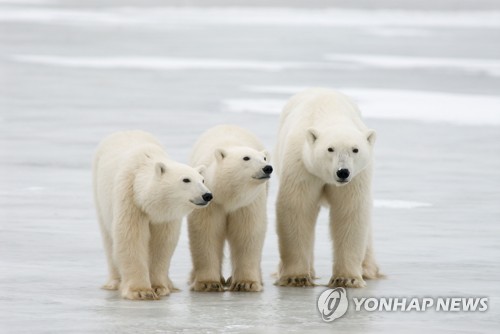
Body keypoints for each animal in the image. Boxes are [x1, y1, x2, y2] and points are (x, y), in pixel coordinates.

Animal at [93, 130, 212, 300]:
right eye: (186, 179)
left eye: (202, 180)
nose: (207, 195)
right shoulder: (130, 199)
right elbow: (131, 237)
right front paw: (140, 291)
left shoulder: (165, 216)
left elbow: (162, 243)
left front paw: (159, 287)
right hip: (100, 194)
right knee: (108, 238)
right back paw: (114, 282)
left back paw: (171, 285)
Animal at [188, 125, 274, 292]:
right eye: (246, 158)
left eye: (264, 159)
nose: (267, 168)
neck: (228, 196)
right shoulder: (211, 203)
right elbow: (206, 232)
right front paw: (208, 283)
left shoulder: (247, 204)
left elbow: (247, 232)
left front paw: (246, 283)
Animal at [276, 89, 380, 290]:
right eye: (330, 149)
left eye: (355, 149)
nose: (343, 172)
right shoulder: (302, 165)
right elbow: (297, 209)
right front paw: (296, 277)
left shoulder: (356, 178)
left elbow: (350, 212)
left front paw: (347, 278)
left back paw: (368, 270)